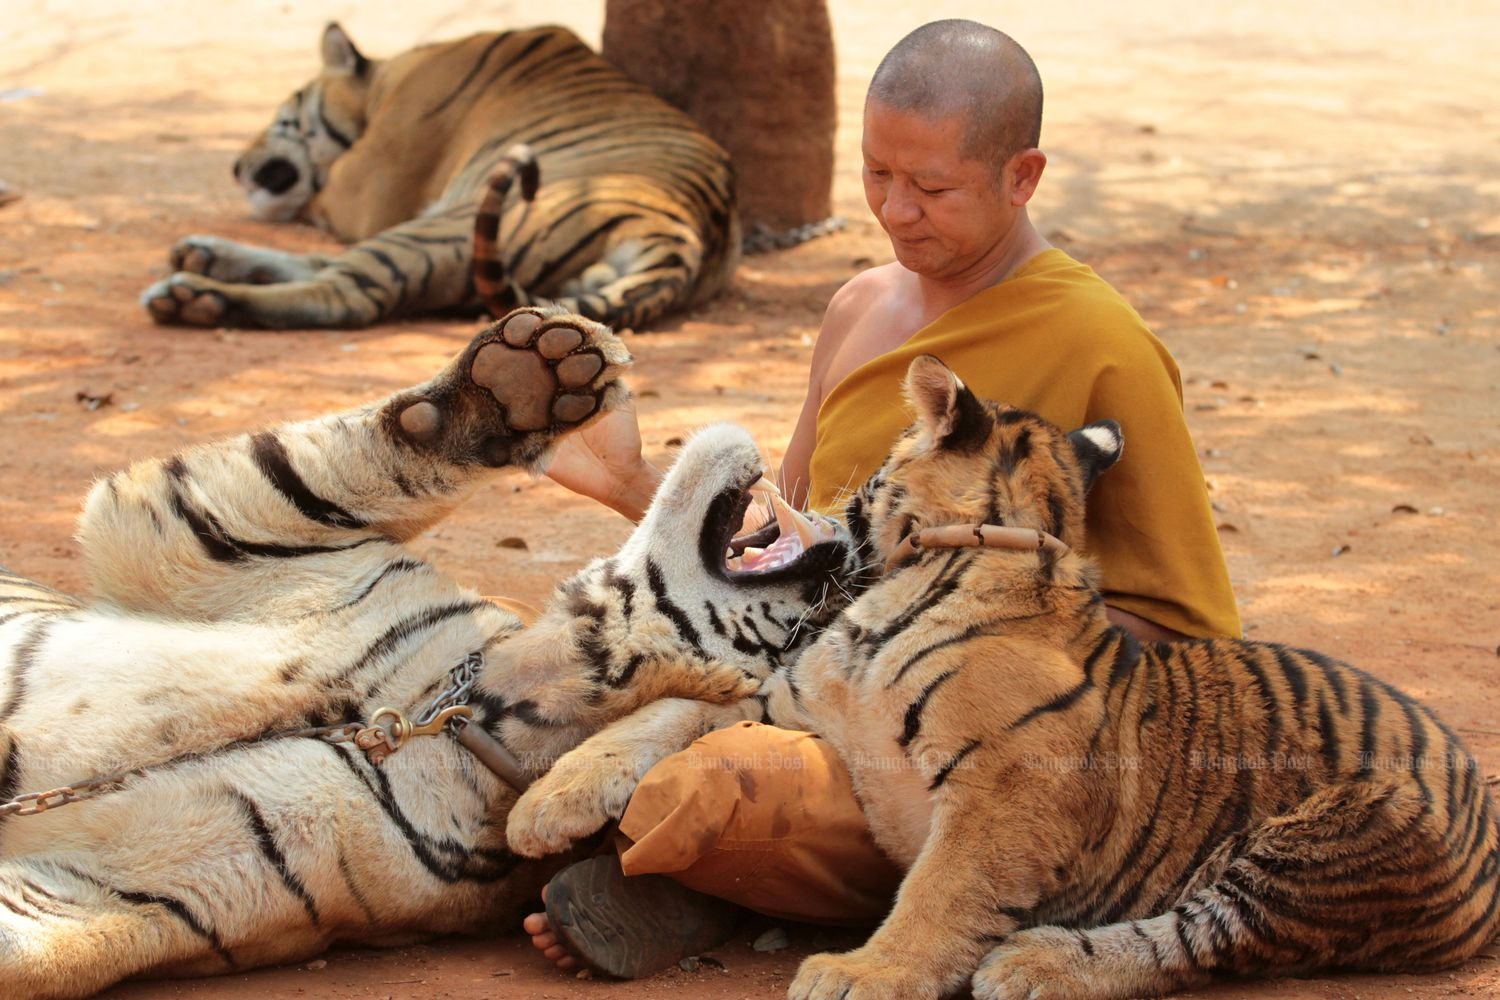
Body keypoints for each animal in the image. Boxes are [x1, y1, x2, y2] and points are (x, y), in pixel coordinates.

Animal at [0, 308, 852, 995]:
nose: (846, 557)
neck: (463, 707)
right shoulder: (205, 532)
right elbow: (340, 468)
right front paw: (530, 375)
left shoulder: (123, 893)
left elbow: (42, 950)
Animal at [141, 23, 738, 329]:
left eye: (278, 115)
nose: (235, 166)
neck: (384, 78)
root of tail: (687, 236)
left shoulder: (368, 187)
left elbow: (319, 200)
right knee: (327, 267)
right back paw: (203, 255)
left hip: (448, 227)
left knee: (347, 294)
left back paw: (194, 296)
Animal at [507, 355, 1500, 995]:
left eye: (877, 468)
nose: (840, 498)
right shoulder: (798, 705)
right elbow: (668, 713)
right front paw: (547, 805)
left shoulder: (1009, 789)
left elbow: (942, 891)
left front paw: (864, 973)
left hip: (1318, 846)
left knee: (1195, 939)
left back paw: (1032, 962)